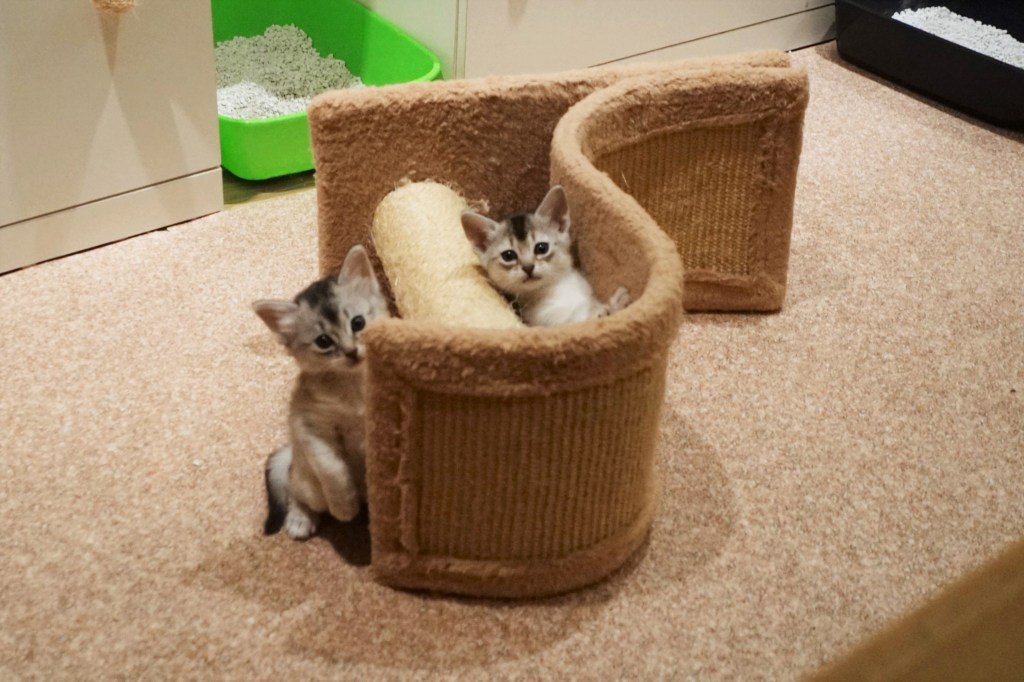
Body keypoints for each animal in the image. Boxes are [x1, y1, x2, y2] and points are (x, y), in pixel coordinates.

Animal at [252, 244, 390, 540]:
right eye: (323, 341)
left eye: (358, 323)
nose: (351, 352)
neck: (353, 388)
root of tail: (292, 456)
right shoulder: (309, 427)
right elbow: (333, 469)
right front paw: (344, 508)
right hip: (307, 482)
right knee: (296, 493)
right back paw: (300, 518)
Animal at [460, 184, 630, 327]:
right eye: (508, 255)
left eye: (541, 248)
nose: (528, 267)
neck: (554, 287)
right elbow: (591, 318)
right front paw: (612, 307)